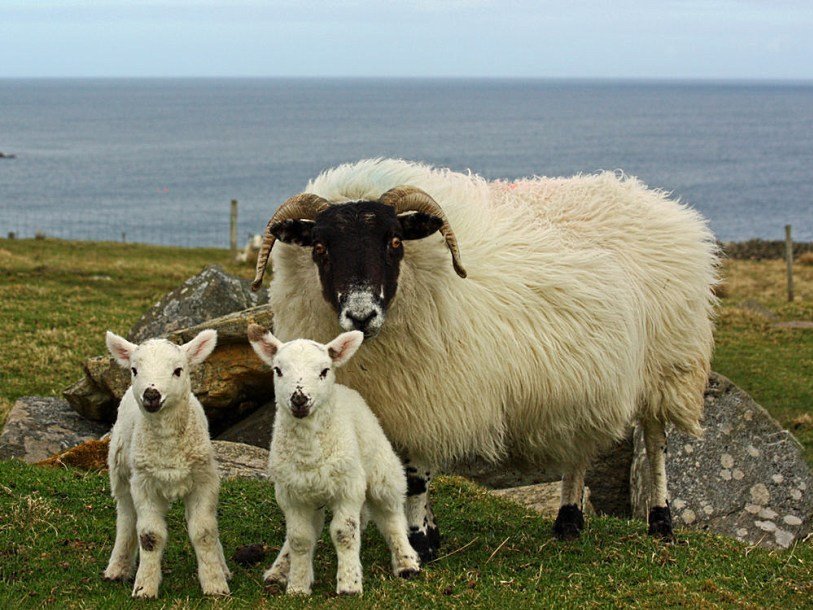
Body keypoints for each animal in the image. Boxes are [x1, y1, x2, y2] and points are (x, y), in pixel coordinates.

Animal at [102, 329, 231, 599]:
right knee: (126, 516)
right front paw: (145, 587)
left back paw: (223, 567)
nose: (151, 394)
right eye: (134, 370)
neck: (169, 445)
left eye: (178, 370)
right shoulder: (143, 483)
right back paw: (117, 567)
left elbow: (204, 532)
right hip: (120, 468)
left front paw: (215, 584)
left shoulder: (204, 480)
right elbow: (150, 536)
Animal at [247, 323, 421, 595]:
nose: (299, 399)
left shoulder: (347, 488)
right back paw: (279, 570)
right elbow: (299, 538)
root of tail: (347, 390)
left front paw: (349, 584)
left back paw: (406, 562)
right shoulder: (291, 495)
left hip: (382, 471)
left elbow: (344, 533)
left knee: (391, 515)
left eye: (324, 370)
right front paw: (297, 586)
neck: (308, 452)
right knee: (314, 527)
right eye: (278, 370)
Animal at [250, 158, 719, 559]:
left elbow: (415, 478)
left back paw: (660, 522)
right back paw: (568, 521)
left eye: (396, 241)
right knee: (578, 443)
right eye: (320, 247)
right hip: (584, 376)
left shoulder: (429, 398)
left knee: (655, 443)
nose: (362, 315)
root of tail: (656, 199)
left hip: (667, 363)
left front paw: (420, 542)